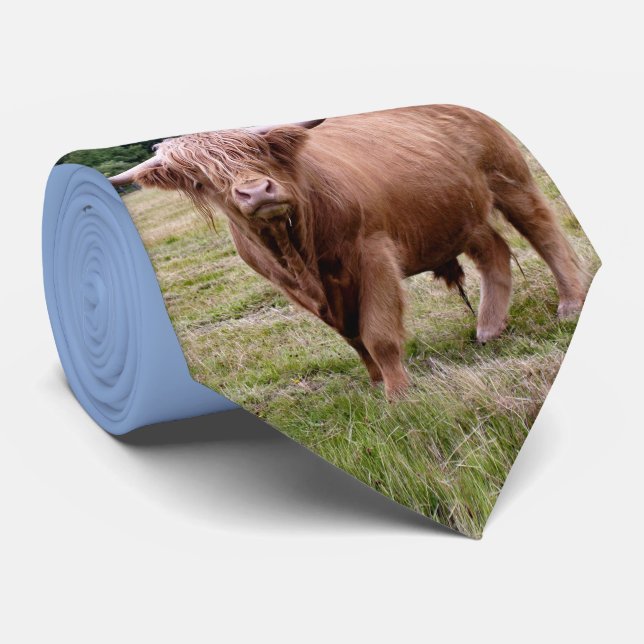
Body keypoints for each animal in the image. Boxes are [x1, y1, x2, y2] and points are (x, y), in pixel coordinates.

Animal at [110, 105, 586, 400]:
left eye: (262, 153)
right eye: (200, 180)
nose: (257, 192)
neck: (298, 251)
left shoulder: (372, 254)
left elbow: (378, 333)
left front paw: (397, 393)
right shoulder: (297, 290)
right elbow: (353, 338)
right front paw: (375, 381)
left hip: (509, 180)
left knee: (545, 234)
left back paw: (569, 304)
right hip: (457, 214)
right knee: (495, 252)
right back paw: (488, 327)